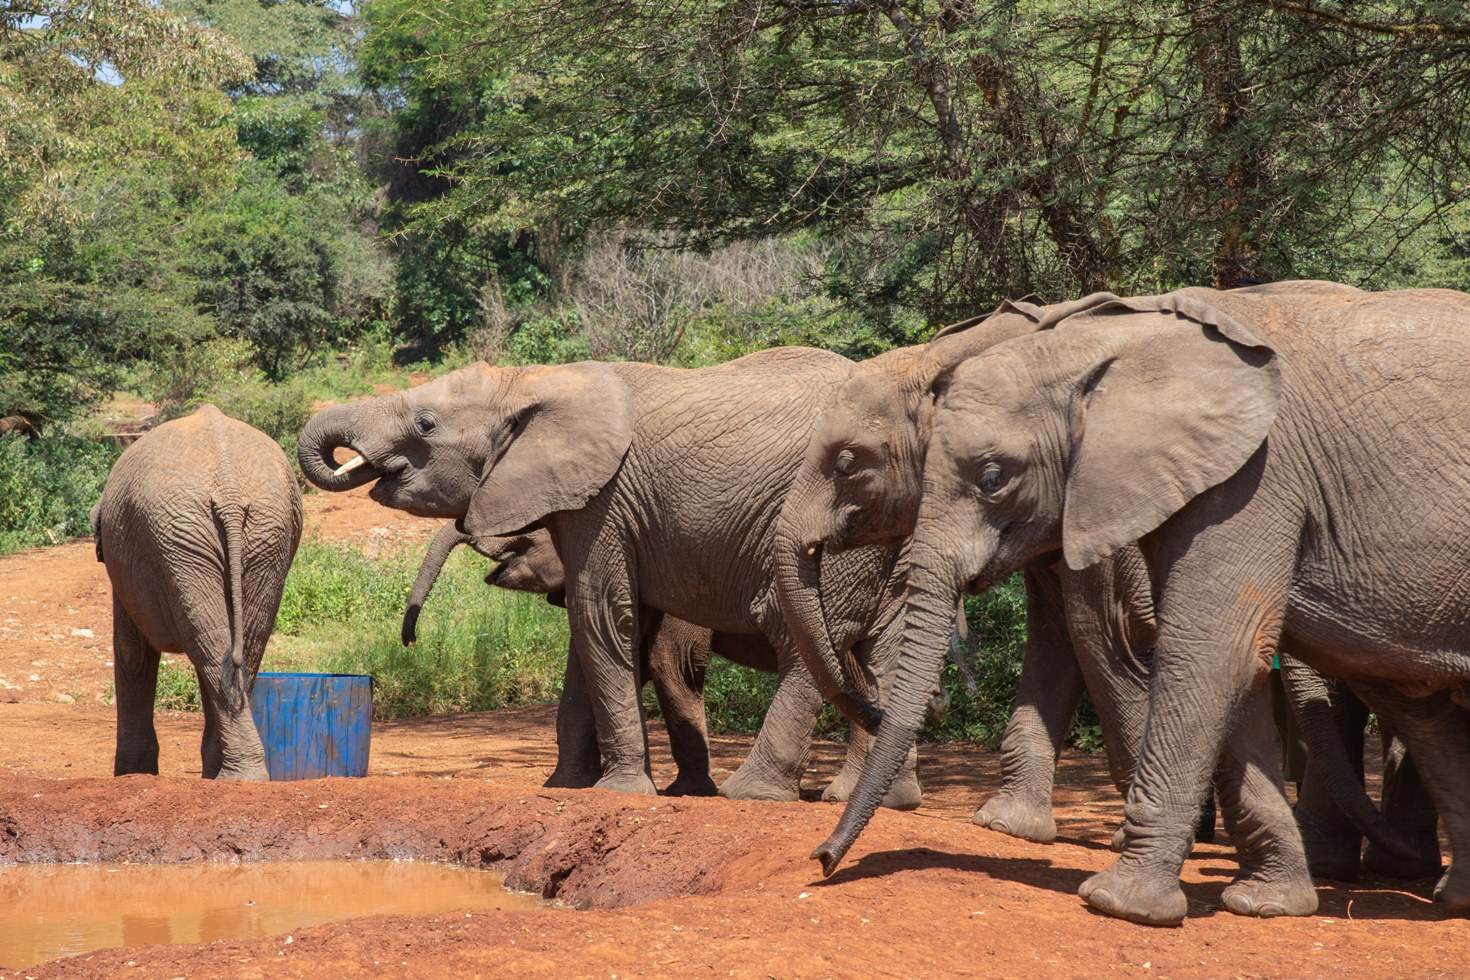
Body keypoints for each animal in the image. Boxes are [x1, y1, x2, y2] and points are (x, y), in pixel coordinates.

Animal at [91, 404, 303, 780]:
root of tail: (229, 490)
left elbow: (132, 652)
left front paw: (131, 776)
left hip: (180, 538)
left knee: (213, 647)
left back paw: (232, 776)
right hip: (262, 532)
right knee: (239, 647)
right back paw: (234, 777)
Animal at [297, 347, 919, 805]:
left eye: (425, 425)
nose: (409, 640)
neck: (532, 381)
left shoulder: (608, 501)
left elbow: (605, 617)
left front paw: (623, 792)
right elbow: (593, 637)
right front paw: (566, 786)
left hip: (835, 517)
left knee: (812, 639)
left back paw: (757, 795)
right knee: (882, 647)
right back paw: (882, 799)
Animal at [811, 281, 1470, 926]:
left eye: (994, 476)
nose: (821, 859)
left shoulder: (1251, 479)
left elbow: (1175, 649)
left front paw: (1118, 901)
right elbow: (1184, 656)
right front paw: (1267, 905)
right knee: (1418, 703)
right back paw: (1443, 891)